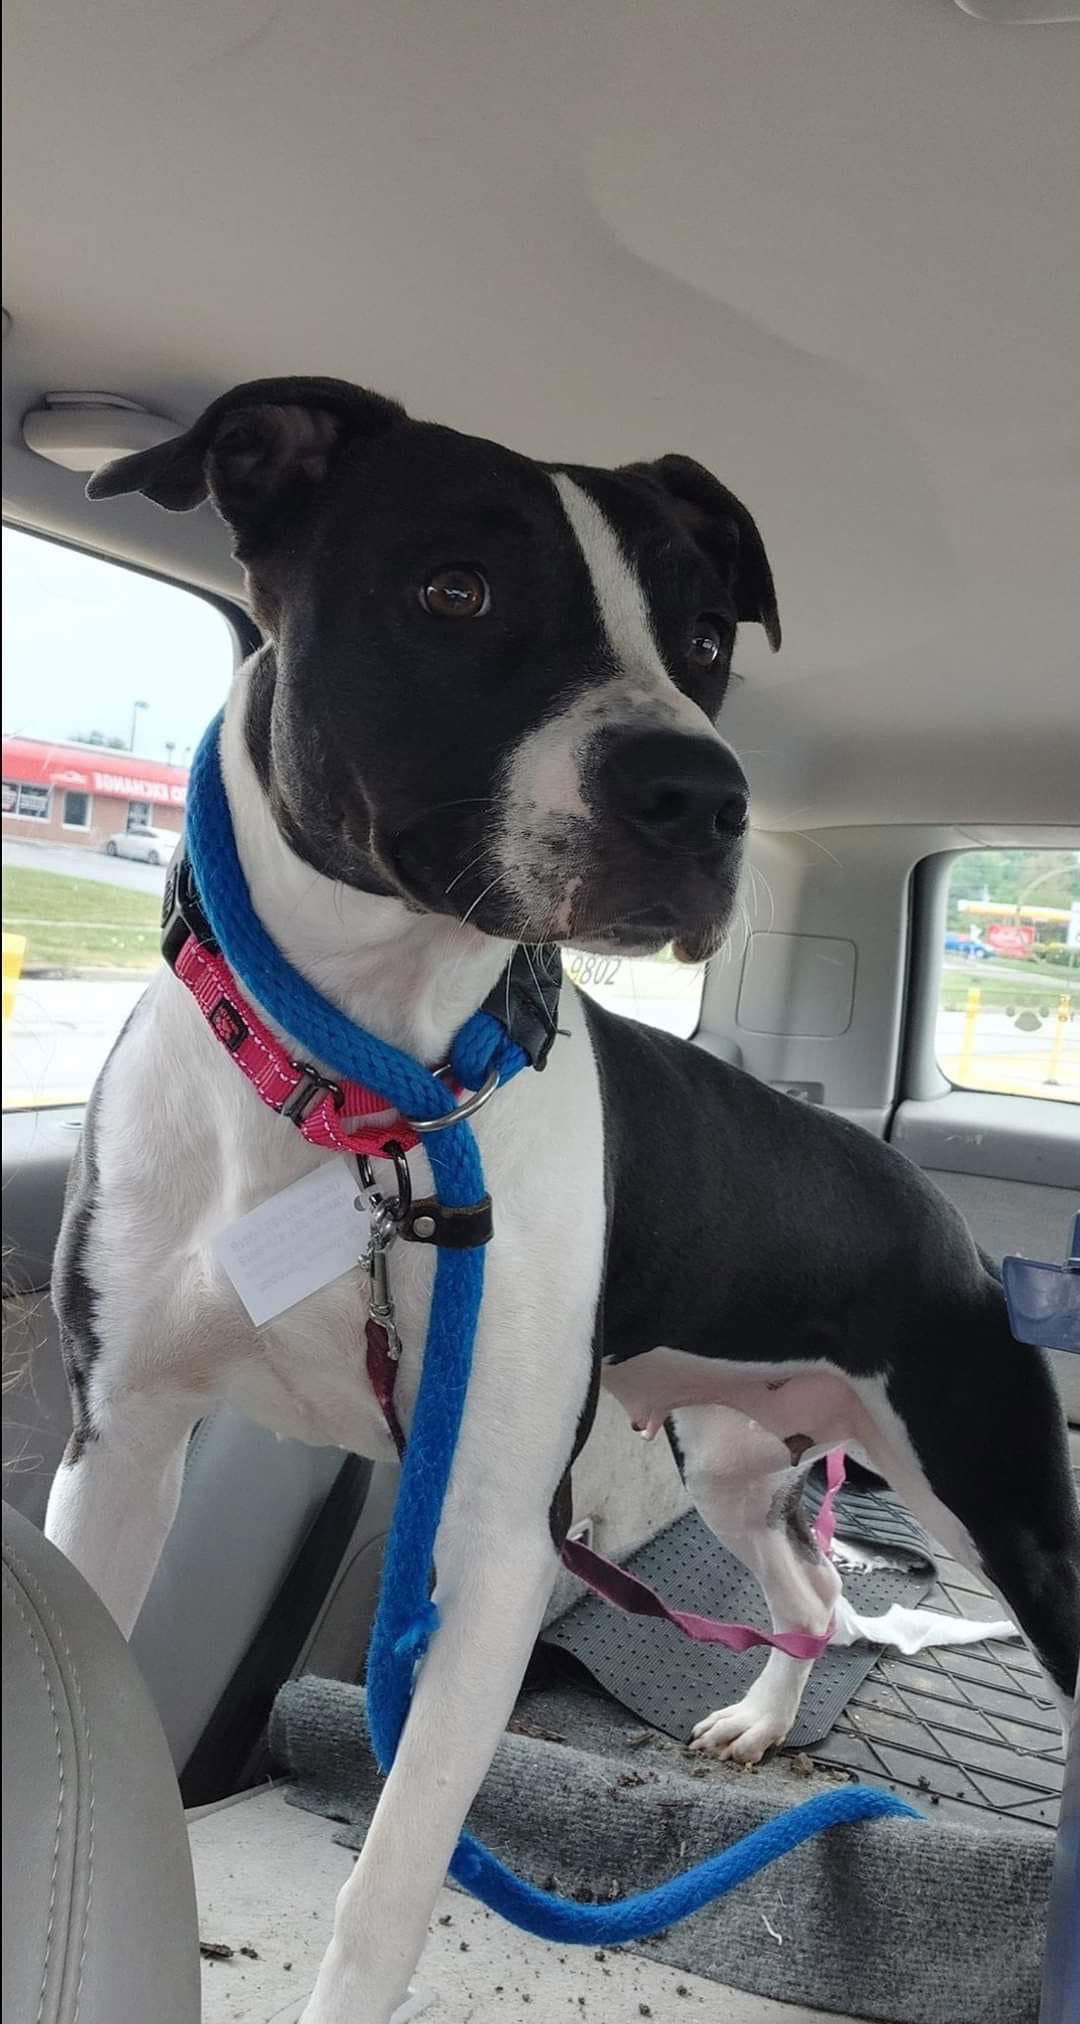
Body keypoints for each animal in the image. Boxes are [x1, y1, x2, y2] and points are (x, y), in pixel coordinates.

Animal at [46, 380, 1075, 2023]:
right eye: (454, 591)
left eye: (705, 636)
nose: (703, 793)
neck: (368, 1088)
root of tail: (927, 1200)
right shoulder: (121, 1448)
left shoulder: (488, 1544)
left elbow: (390, 1888)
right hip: (734, 1460)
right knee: (808, 1592)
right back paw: (760, 1718)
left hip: (996, 1497)